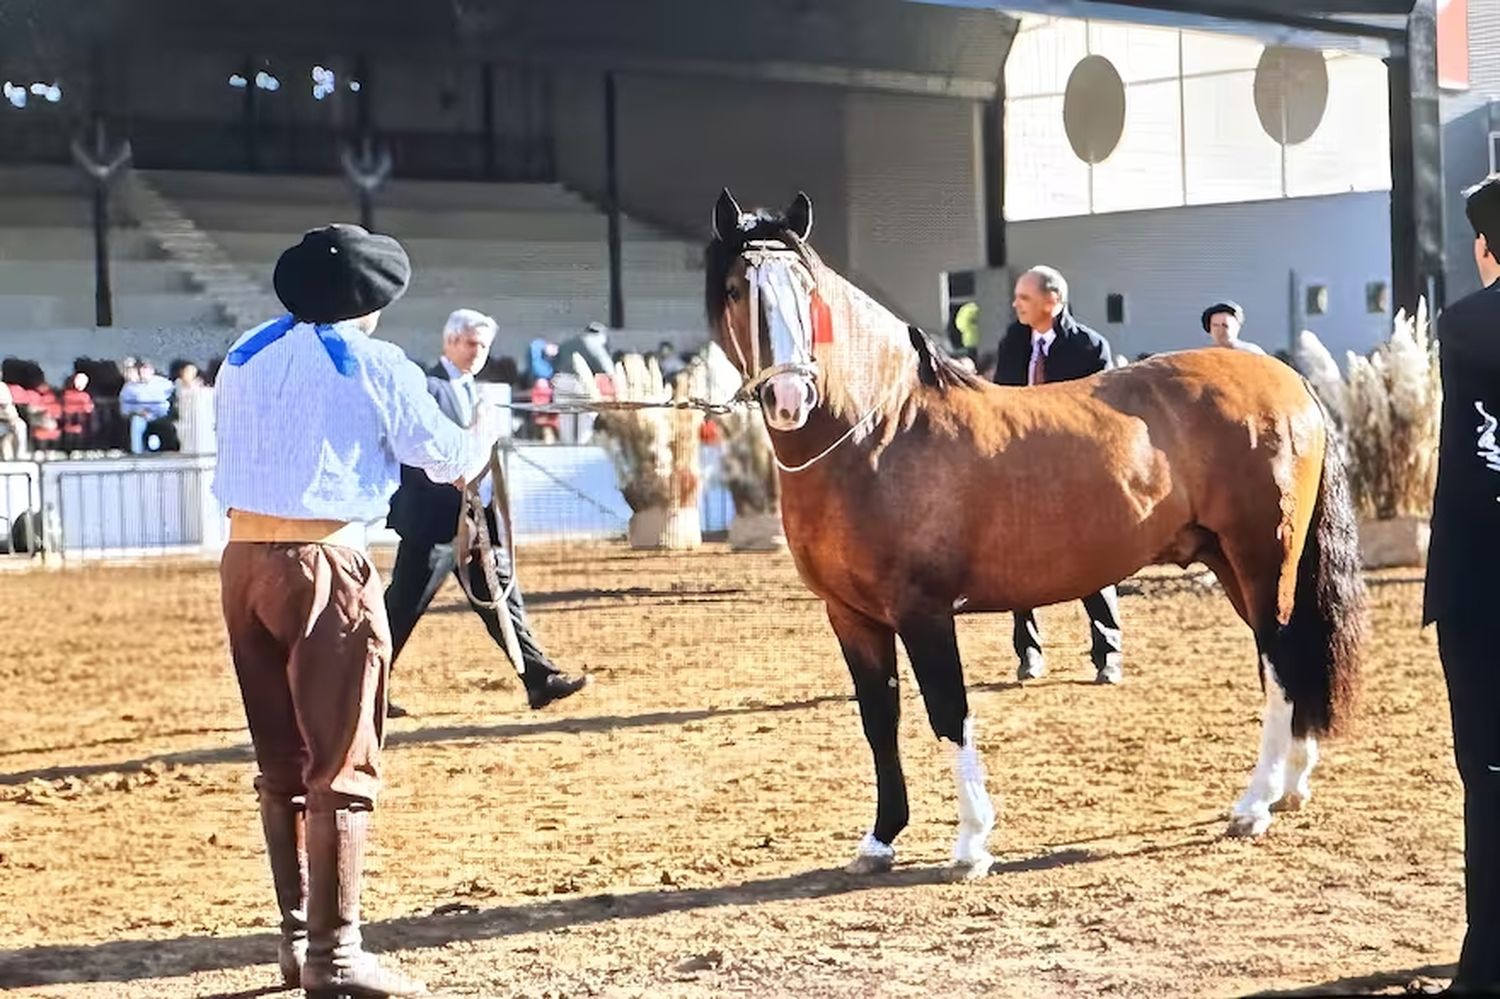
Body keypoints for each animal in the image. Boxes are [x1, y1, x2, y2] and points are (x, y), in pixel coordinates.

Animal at [708, 190, 1368, 876]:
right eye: (735, 289)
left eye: (806, 289)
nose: (790, 396)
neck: (878, 433)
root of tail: (1290, 382)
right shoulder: (851, 616)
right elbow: (879, 719)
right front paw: (880, 840)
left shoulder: (923, 612)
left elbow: (948, 712)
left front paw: (971, 843)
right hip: (1234, 564)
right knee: (1287, 656)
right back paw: (1290, 785)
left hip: (1264, 558)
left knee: (1280, 660)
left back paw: (1255, 805)